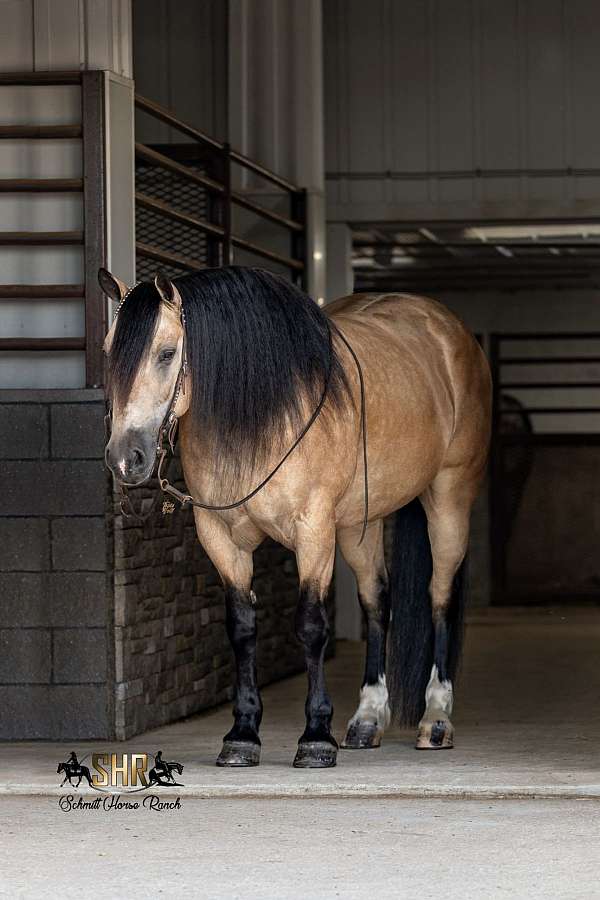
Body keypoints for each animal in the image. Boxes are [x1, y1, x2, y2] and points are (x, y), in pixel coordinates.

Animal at [100, 265, 491, 769]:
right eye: (108, 351)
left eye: (166, 353)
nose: (124, 458)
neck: (263, 415)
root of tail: (450, 331)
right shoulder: (220, 537)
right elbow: (242, 627)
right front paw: (243, 734)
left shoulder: (313, 530)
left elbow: (310, 625)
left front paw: (316, 736)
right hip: (360, 525)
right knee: (376, 602)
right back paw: (367, 719)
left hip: (448, 498)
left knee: (440, 597)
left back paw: (437, 719)